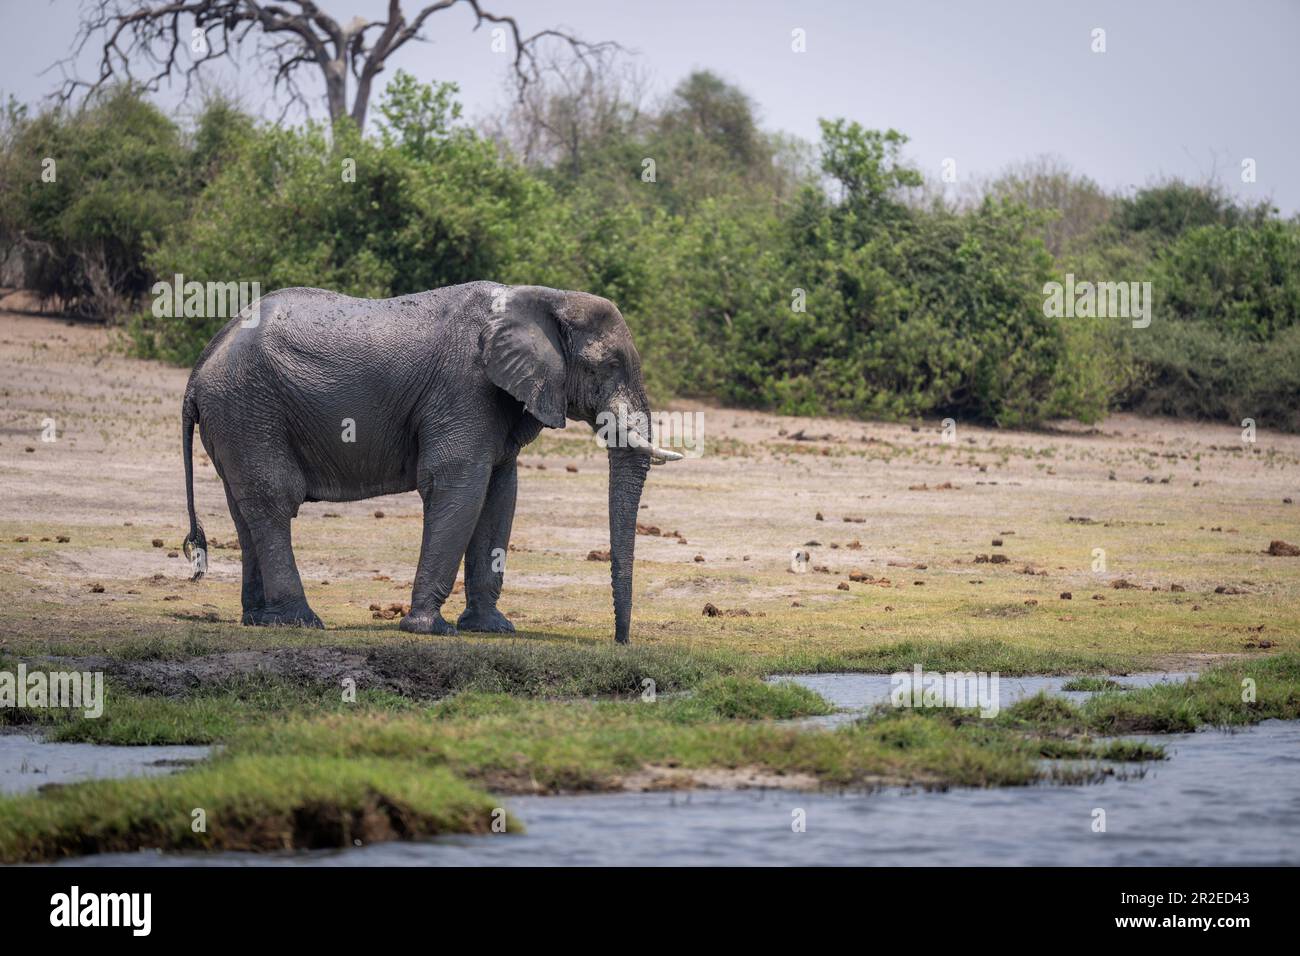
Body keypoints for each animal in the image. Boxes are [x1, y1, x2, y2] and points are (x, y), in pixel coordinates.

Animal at [180, 281, 682, 643]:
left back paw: (260, 621)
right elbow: (457, 485)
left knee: (245, 507)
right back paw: (301, 622)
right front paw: (429, 629)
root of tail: (201, 364)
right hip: (249, 407)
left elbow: (499, 495)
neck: (545, 298)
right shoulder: (464, 388)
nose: (620, 640)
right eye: (608, 365)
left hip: (237, 417)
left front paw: (492, 630)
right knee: (274, 499)